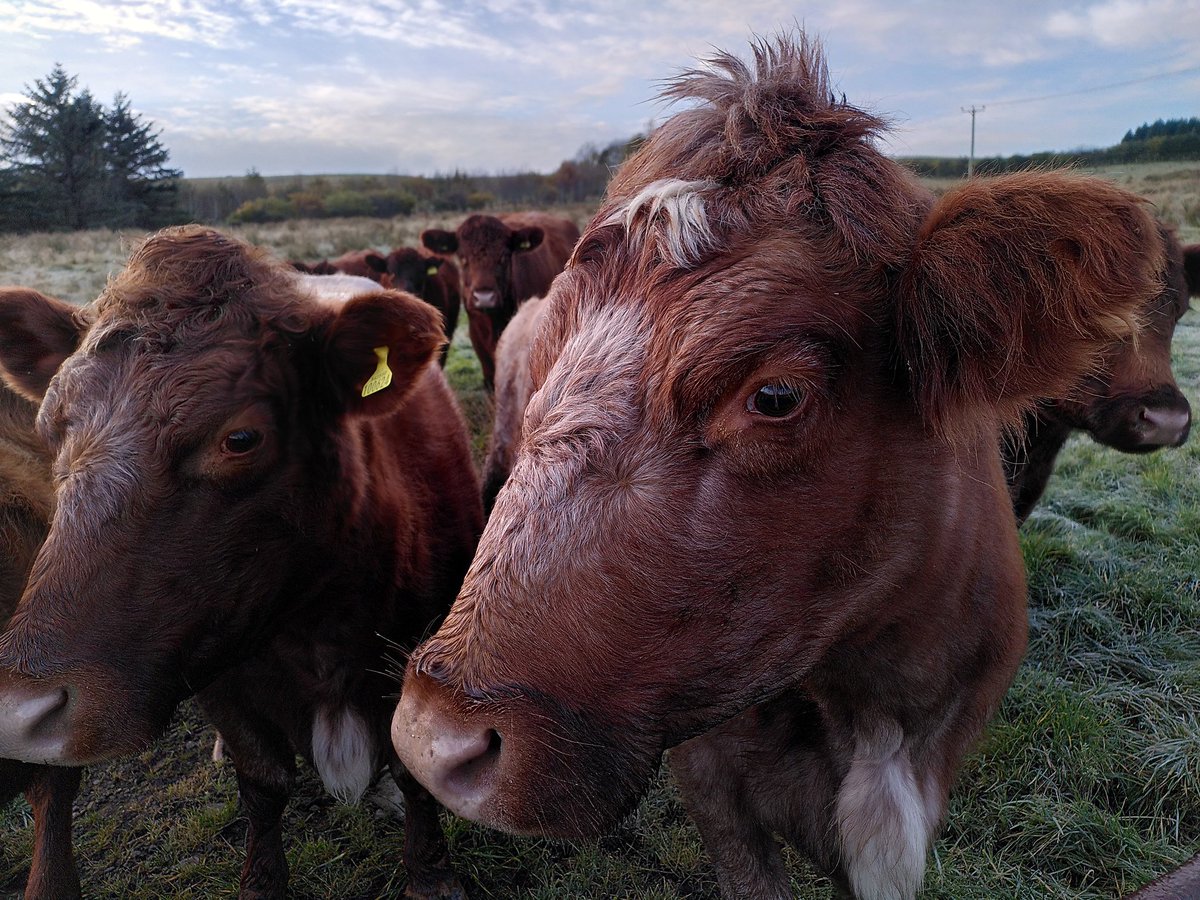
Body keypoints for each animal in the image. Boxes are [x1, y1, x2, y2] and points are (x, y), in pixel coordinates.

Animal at [0, 229, 483, 899]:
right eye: (49, 431)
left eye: (241, 439)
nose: (23, 712)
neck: (317, 621)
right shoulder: (219, 673)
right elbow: (263, 780)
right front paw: (261, 879)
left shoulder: (416, 643)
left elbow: (413, 765)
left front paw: (431, 873)